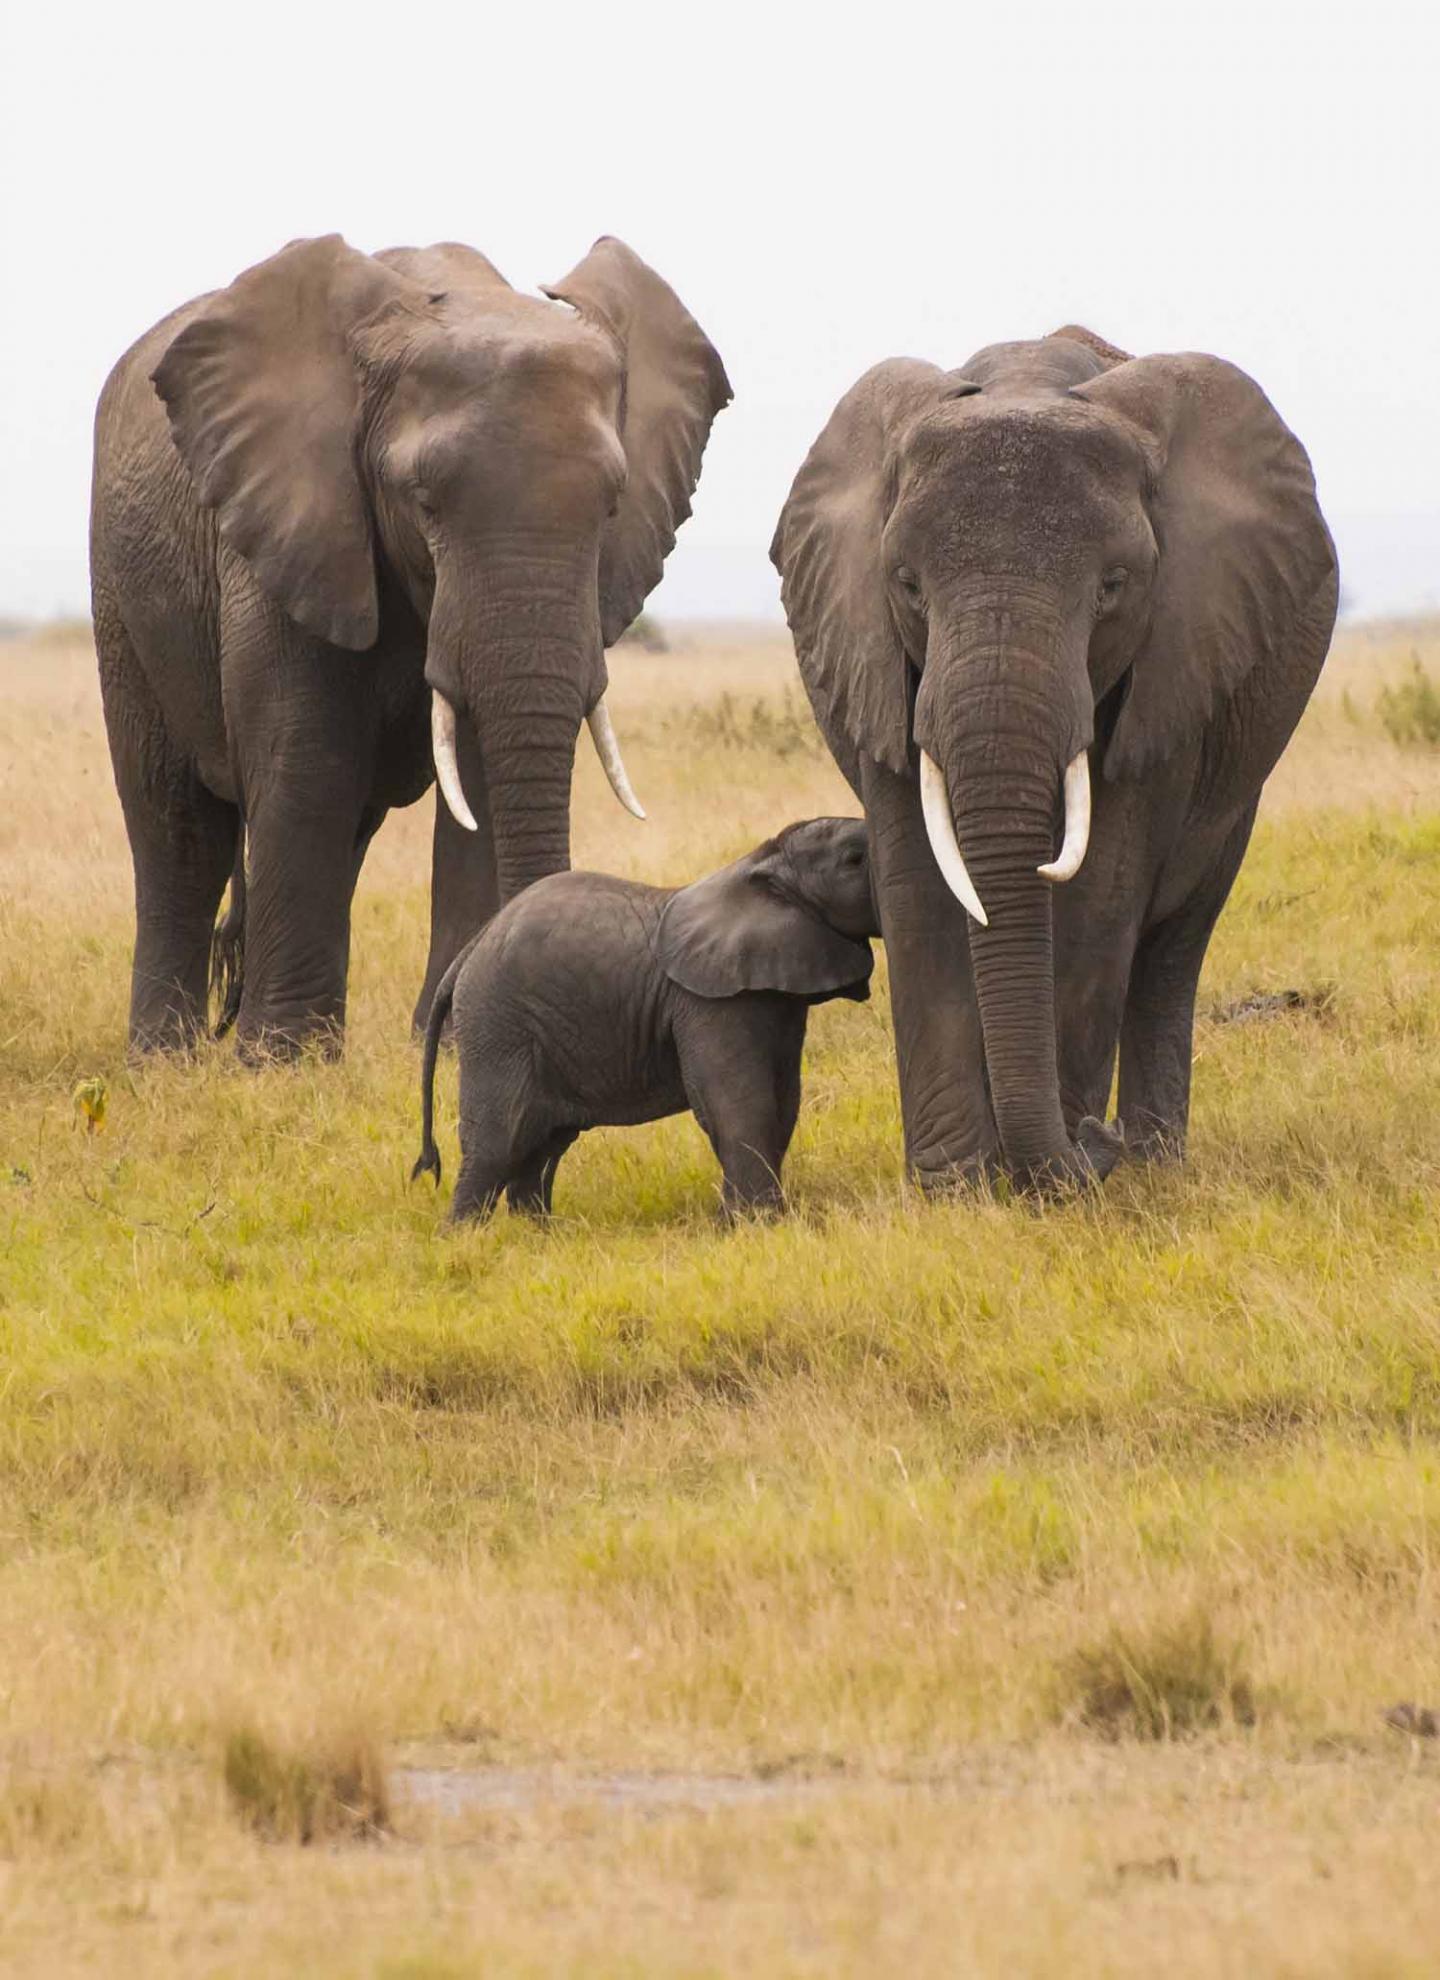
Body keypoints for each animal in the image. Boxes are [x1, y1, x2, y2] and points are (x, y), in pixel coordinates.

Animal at [87, 233, 732, 1061]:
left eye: (612, 504)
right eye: (423, 501)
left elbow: (480, 777)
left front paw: (453, 1041)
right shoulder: (293, 521)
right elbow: (309, 759)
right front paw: (285, 1064)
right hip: (121, 585)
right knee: (176, 823)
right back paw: (165, 1061)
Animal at [408, 819, 879, 1219]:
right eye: (855, 859)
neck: (761, 863)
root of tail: (473, 947)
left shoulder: (777, 994)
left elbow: (785, 1102)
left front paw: (743, 1222)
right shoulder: (706, 1002)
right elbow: (740, 1101)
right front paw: (756, 1226)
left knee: (541, 1147)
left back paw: (539, 1234)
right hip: (497, 1027)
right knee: (498, 1142)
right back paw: (462, 1239)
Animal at [776, 328, 1338, 1188]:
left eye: (1114, 585)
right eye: (906, 584)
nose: (1092, 1138)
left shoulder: (1172, 663)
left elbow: (1100, 892)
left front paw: (1047, 1187)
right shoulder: (874, 655)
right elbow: (916, 887)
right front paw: (959, 1188)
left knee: (1177, 944)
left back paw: (1154, 1167)